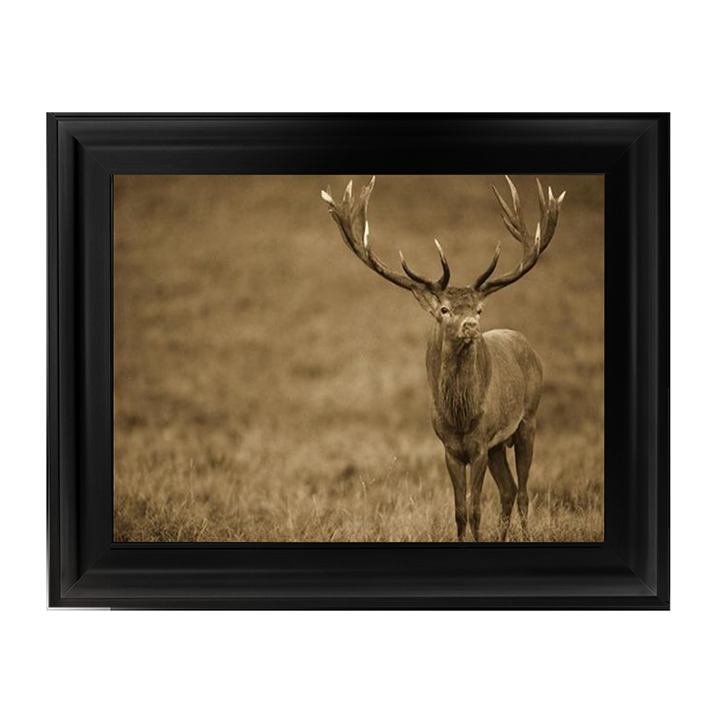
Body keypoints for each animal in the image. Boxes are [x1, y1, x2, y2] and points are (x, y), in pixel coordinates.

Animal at [321, 176, 565, 541]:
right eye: (444, 310)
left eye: (479, 309)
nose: (471, 326)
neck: (460, 416)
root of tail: (528, 346)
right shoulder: (450, 447)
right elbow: (460, 511)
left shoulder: (479, 444)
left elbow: (476, 510)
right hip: (499, 445)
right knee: (508, 490)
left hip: (528, 420)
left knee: (523, 492)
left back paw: (525, 534)